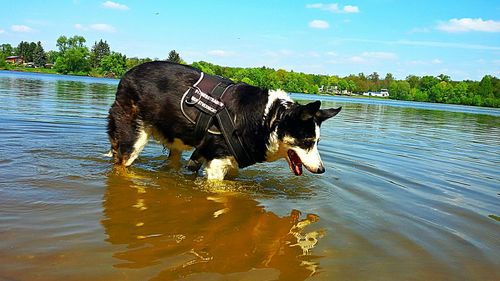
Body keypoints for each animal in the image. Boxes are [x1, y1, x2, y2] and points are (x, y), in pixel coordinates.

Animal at [105, 61, 340, 179]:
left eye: (317, 143)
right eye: (307, 142)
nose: (322, 170)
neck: (267, 118)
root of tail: (126, 75)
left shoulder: (230, 162)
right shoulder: (216, 163)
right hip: (132, 140)